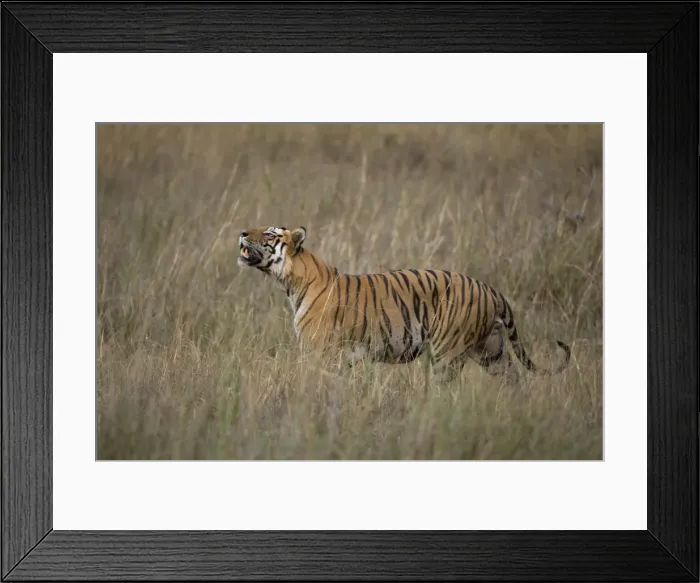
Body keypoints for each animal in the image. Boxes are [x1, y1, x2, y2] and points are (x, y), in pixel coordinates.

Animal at [237, 225, 571, 383]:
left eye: (268, 233)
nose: (241, 232)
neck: (291, 283)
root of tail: (489, 289)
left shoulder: (320, 354)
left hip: (448, 354)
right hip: (492, 350)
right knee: (515, 379)